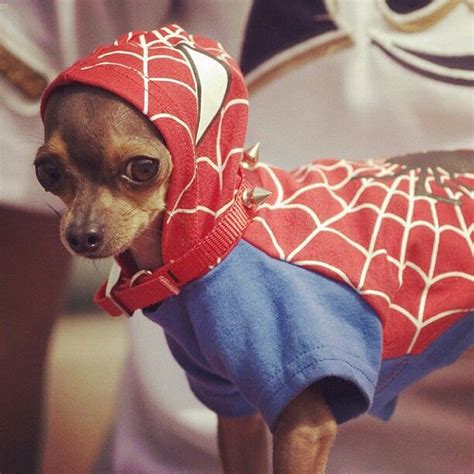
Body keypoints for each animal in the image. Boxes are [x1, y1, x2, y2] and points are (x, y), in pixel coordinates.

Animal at [35, 25, 472, 474]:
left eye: (143, 167)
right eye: (47, 171)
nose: (81, 235)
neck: (216, 241)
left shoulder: (304, 425)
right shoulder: (233, 411)